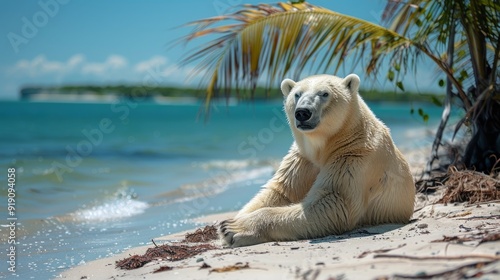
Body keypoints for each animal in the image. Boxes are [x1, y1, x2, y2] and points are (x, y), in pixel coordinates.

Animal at [219, 74, 414, 247]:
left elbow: (333, 201)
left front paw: (232, 228)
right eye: (297, 94)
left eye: (324, 93)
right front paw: (231, 222)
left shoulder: (354, 157)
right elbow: (281, 191)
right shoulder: (302, 159)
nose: (302, 113)